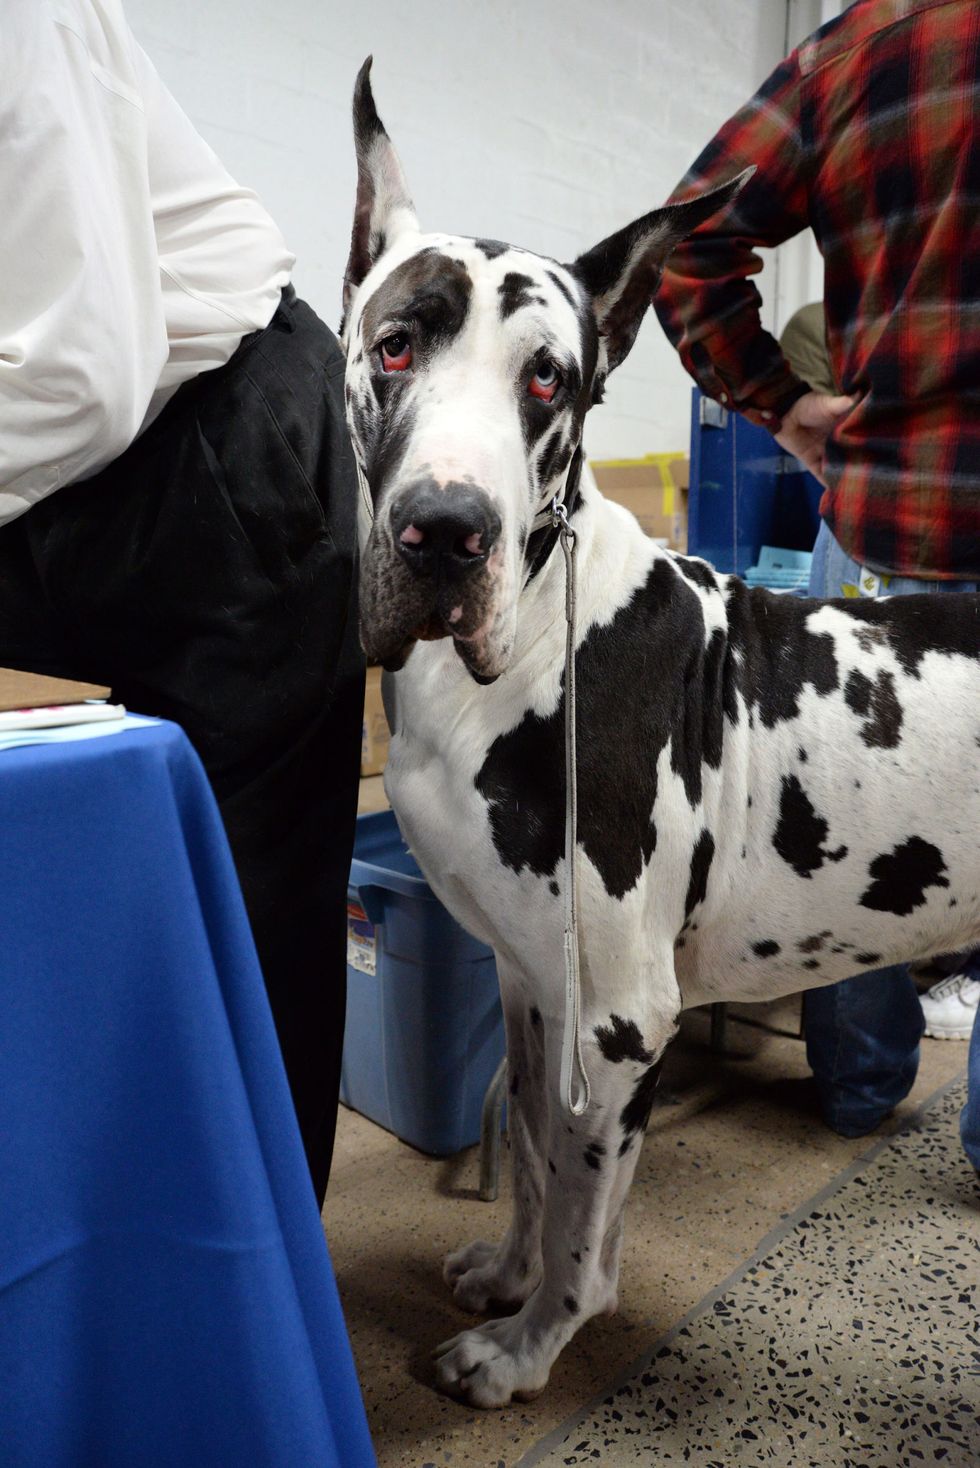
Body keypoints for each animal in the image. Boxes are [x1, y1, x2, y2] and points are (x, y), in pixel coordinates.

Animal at [338, 63, 979, 1403]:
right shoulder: (529, 983)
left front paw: (529, 1345)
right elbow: (533, 1156)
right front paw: (508, 1274)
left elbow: (587, 1229)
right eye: (394, 340)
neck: (534, 639)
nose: (444, 532)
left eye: (547, 377)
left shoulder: (616, 1017)